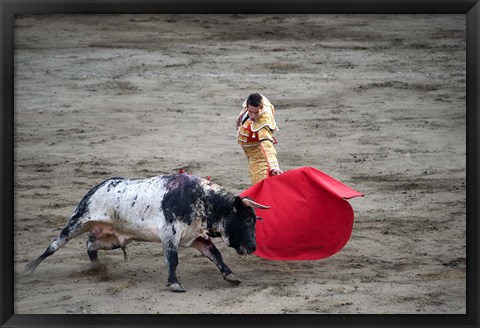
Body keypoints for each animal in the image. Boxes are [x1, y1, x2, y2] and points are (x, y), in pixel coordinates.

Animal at [24, 173, 270, 290]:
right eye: (248, 220)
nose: (253, 246)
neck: (201, 199)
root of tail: (96, 188)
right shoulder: (170, 234)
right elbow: (173, 259)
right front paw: (174, 283)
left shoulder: (196, 237)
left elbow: (215, 254)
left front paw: (230, 276)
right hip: (77, 221)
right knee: (54, 245)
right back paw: (29, 268)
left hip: (113, 238)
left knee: (91, 244)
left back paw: (97, 267)